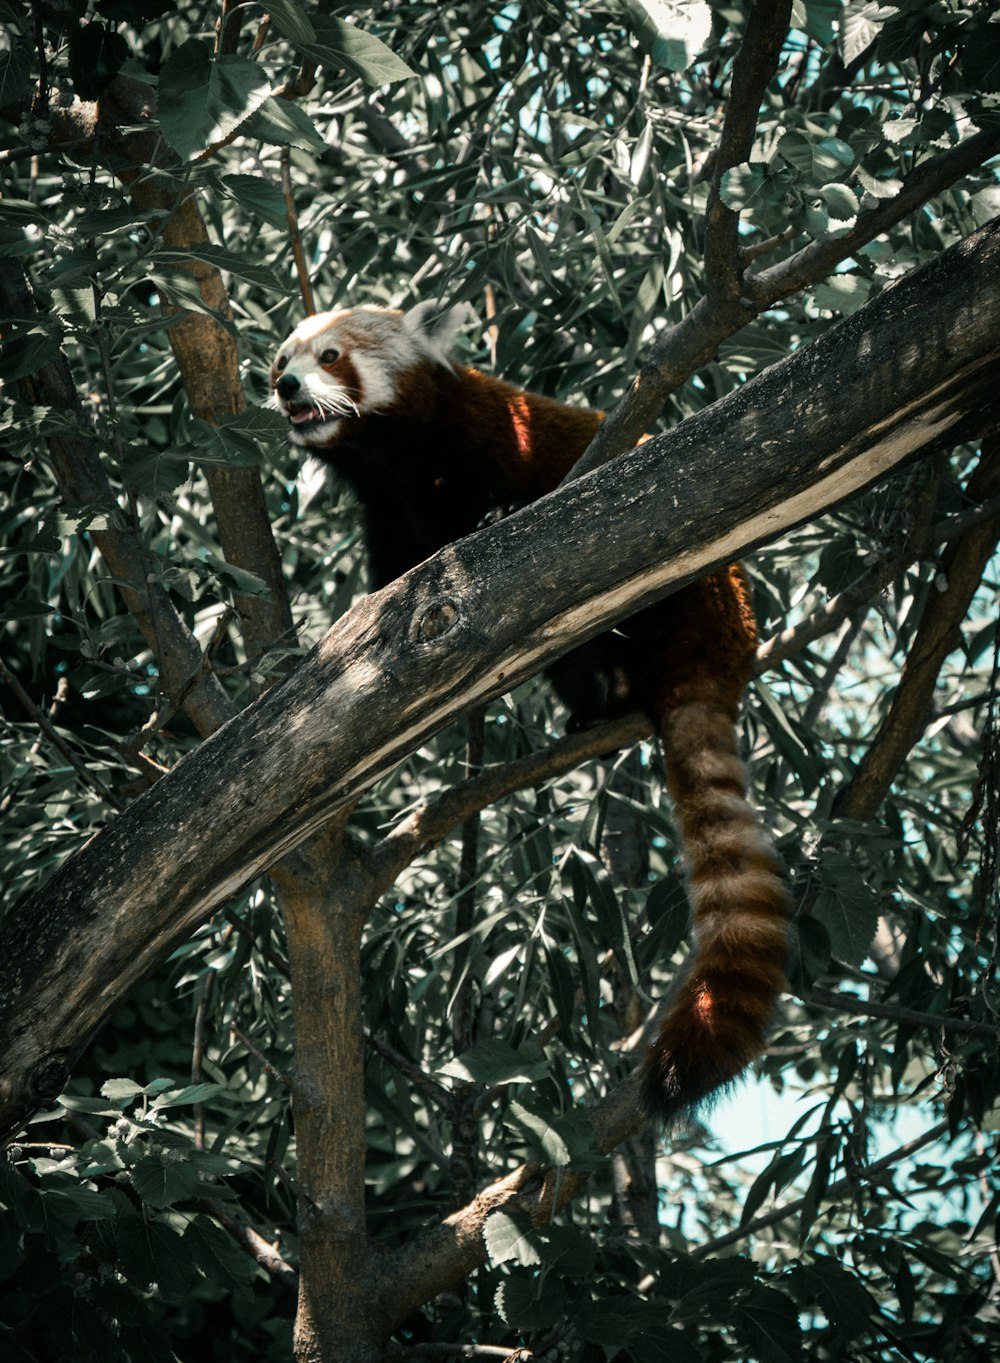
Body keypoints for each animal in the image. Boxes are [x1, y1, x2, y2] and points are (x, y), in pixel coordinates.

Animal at [273, 303, 790, 1123]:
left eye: (329, 356)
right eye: (280, 359)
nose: (285, 385)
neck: (396, 459)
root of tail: (723, 648)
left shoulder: (486, 440)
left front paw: (498, 513)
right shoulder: (390, 513)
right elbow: (392, 582)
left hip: (695, 585)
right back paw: (598, 708)